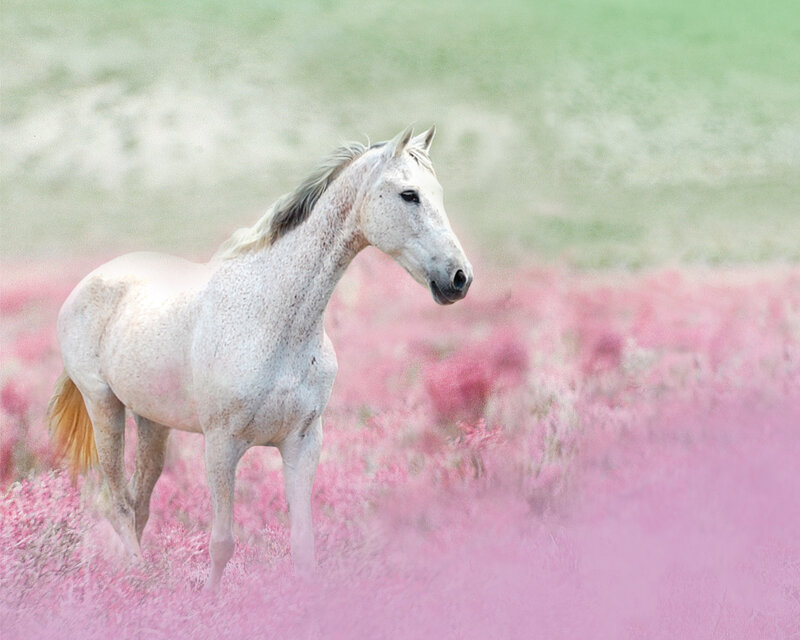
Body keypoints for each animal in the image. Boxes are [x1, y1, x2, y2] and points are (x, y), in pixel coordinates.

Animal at [46, 125, 473, 589]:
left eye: (438, 192)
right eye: (409, 194)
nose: (459, 278)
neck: (273, 321)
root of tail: (89, 282)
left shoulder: (303, 443)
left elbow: (303, 545)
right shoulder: (221, 445)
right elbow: (222, 543)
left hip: (152, 422)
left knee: (140, 501)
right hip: (104, 406)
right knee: (119, 503)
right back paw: (141, 581)